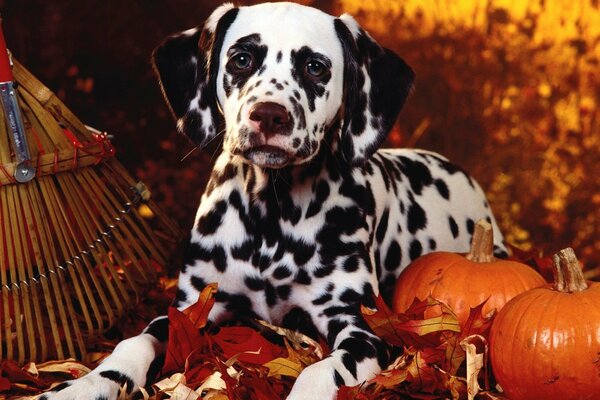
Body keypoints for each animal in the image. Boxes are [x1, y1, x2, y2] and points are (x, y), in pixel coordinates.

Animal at [41, 3, 506, 400]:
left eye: (315, 67)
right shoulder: (190, 309)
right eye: (241, 59)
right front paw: (85, 385)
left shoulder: (363, 329)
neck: (272, 216)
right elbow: (134, 341)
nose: (269, 114)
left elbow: (319, 370)